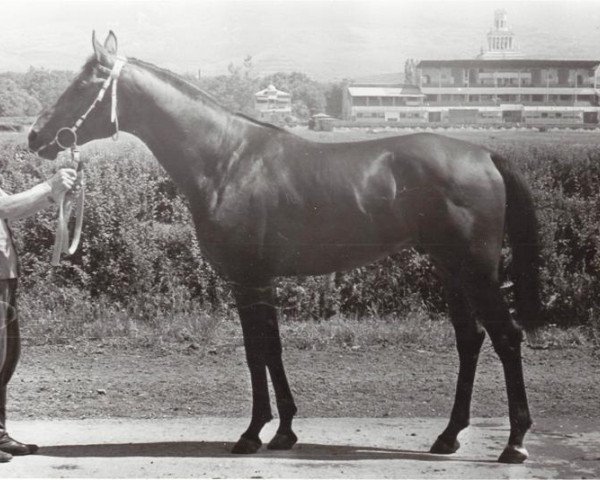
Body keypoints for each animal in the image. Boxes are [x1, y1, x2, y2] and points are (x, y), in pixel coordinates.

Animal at [29, 31, 544, 464]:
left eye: (82, 85)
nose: (36, 136)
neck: (227, 160)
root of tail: (485, 154)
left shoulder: (249, 280)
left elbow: (257, 351)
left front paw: (252, 433)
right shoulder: (263, 281)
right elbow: (272, 350)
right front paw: (283, 431)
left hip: (476, 270)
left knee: (506, 337)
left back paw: (515, 443)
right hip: (451, 268)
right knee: (470, 340)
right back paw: (448, 436)